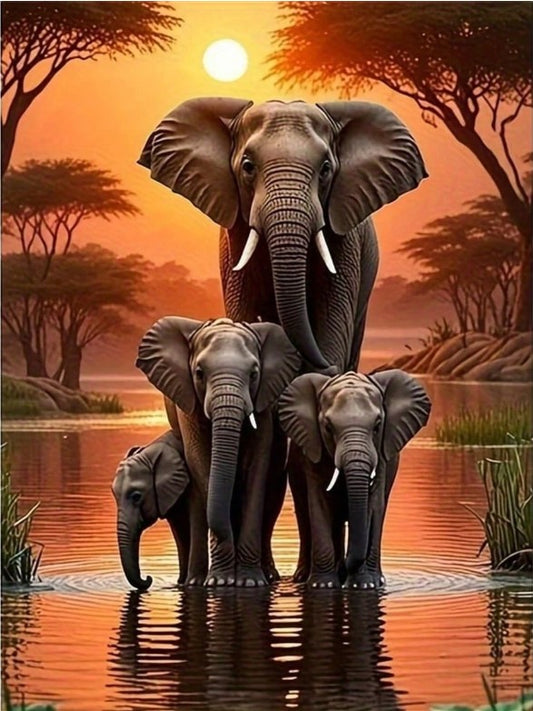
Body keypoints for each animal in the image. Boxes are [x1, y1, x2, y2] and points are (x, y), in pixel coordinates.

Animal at [136, 316, 301, 587]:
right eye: (199, 374)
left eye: (254, 374)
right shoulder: (188, 401)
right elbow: (202, 464)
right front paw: (220, 582)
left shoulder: (263, 404)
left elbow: (256, 468)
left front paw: (249, 583)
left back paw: (269, 576)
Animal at [278, 369, 431, 589]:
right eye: (328, 427)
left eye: (377, 426)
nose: (346, 566)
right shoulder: (313, 453)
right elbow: (320, 505)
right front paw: (323, 586)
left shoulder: (381, 456)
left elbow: (373, 506)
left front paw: (366, 586)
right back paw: (305, 577)